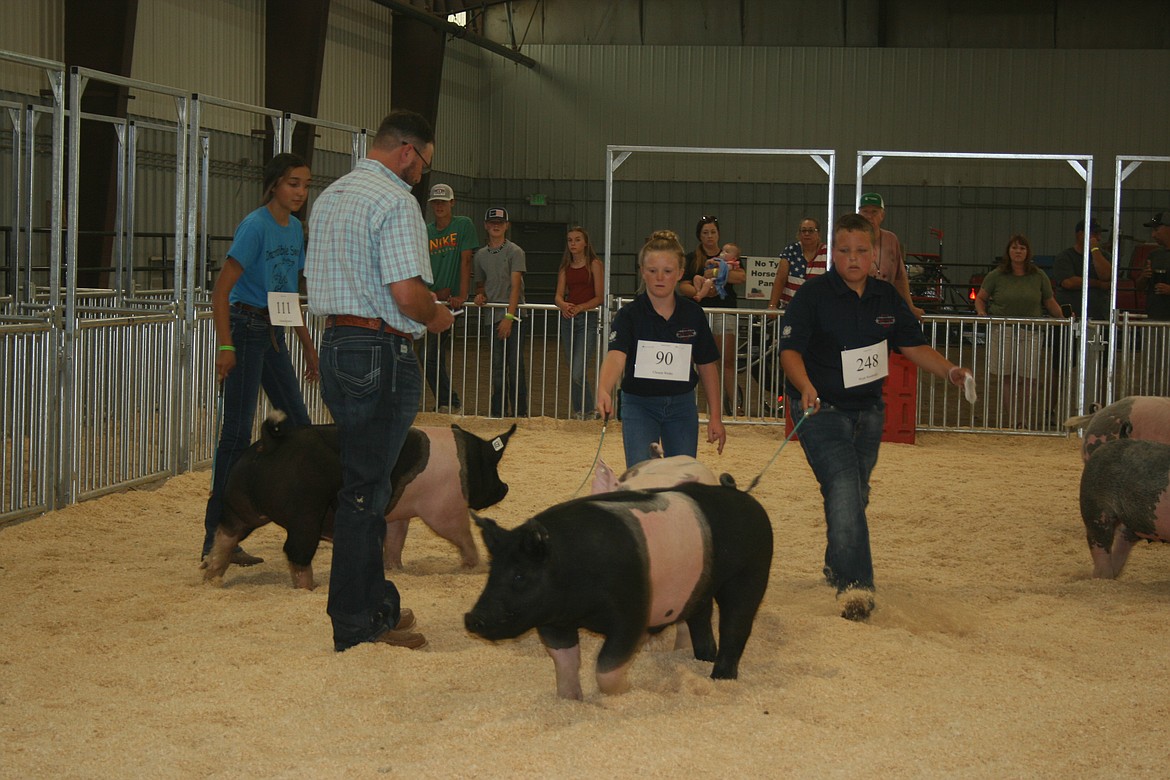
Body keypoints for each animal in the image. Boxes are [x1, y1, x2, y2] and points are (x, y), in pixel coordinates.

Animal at [200, 418, 512, 589]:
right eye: (493, 464)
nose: (505, 488)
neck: (464, 462)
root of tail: (270, 443)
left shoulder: (399, 515)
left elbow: (395, 541)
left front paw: (395, 569)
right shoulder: (442, 506)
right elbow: (460, 533)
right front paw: (475, 565)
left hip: (239, 504)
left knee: (224, 535)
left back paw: (211, 579)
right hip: (306, 514)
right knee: (296, 551)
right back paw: (310, 587)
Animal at [460, 481, 772, 701]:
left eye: (520, 575)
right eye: (492, 572)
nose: (472, 618)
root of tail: (747, 498)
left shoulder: (631, 614)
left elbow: (606, 667)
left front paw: (625, 692)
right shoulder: (553, 621)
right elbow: (565, 661)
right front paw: (570, 700)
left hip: (751, 573)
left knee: (736, 625)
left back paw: (720, 677)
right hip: (700, 585)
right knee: (700, 616)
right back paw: (702, 657)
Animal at [1076, 439, 1170, 580]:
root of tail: (1101, 449)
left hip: (1132, 519)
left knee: (1123, 539)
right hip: (1094, 506)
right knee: (1100, 540)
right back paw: (1102, 578)